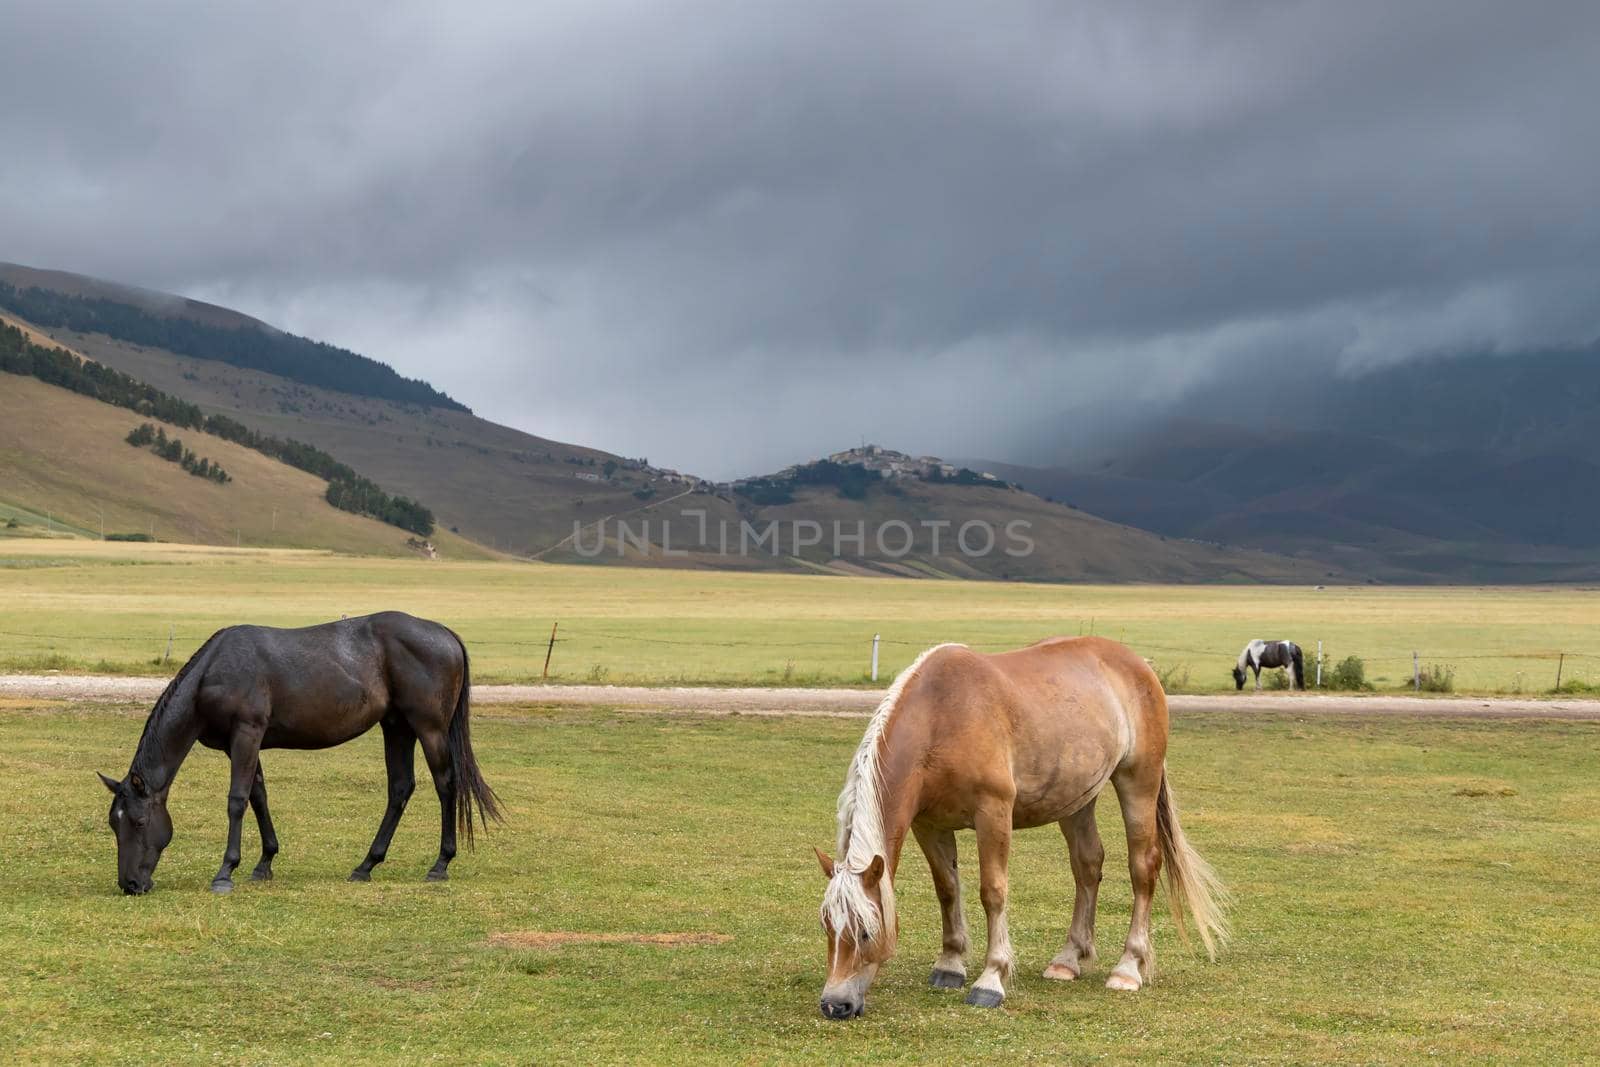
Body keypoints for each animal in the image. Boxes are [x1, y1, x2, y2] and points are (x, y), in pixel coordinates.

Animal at [96, 614, 496, 895]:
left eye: (139, 822)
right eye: (114, 823)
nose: (130, 885)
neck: (214, 673)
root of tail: (443, 633)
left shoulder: (247, 733)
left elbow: (237, 800)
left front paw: (226, 872)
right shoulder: (239, 744)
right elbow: (258, 796)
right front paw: (264, 863)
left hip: (429, 729)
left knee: (446, 785)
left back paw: (440, 864)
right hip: (396, 726)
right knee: (400, 788)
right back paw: (366, 865)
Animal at [806, 633, 1228, 1017]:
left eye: (865, 931)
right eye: (827, 926)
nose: (835, 1004)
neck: (941, 717)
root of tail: (1137, 664)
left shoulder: (993, 813)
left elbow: (992, 892)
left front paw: (990, 980)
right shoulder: (929, 825)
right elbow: (947, 889)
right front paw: (950, 965)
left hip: (1138, 782)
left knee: (1143, 868)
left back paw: (1127, 968)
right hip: (1077, 800)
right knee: (1087, 865)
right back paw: (1067, 960)